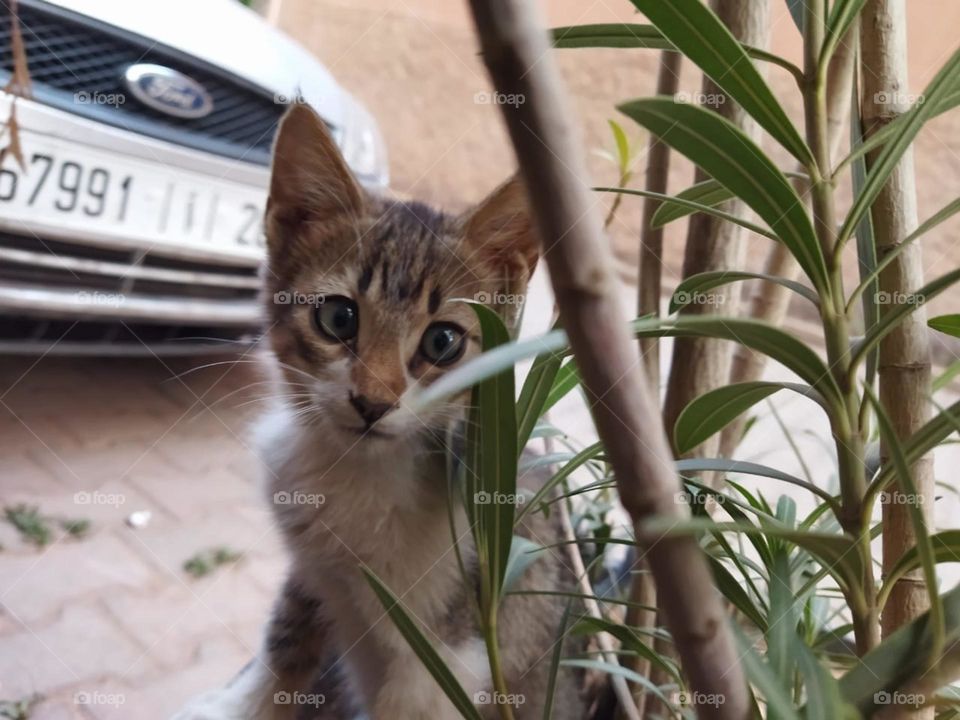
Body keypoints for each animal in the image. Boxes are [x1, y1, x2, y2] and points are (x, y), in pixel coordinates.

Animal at [172, 102, 580, 720]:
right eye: (338, 318)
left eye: (442, 343)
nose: (372, 402)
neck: (362, 475)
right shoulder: (313, 570)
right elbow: (286, 637)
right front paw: (241, 705)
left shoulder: (447, 656)